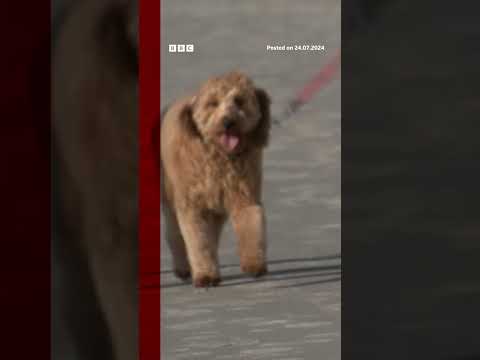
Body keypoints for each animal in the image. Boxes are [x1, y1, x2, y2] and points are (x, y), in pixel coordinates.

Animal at [162, 71, 270, 288]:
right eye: (212, 103)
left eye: (239, 101)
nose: (229, 122)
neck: (220, 156)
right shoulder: (192, 207)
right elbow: (197, 241)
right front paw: (205, 276)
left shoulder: (244, 197)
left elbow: (252, 225)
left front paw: (254, 264)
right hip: (170, 198)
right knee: (175, 235)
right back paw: (183, 268)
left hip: (216, 211)